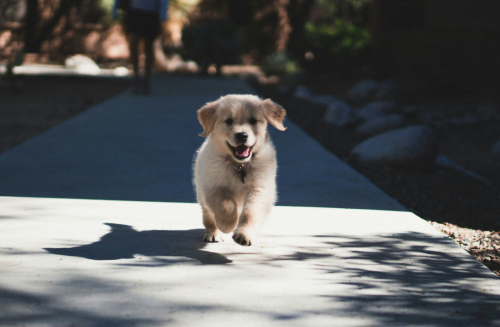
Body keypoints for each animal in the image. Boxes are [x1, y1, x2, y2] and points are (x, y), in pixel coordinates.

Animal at [194, 95, 288, 246]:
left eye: (253, 120)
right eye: (229, 121)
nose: (242, 135)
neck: (239, 165)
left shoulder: (259, 189)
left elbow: (251, 212)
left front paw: (244, 235)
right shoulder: (213, 186)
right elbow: (225, 205)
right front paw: (227, 225)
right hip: (201, 194)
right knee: (208, 216)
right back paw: (213, 233)